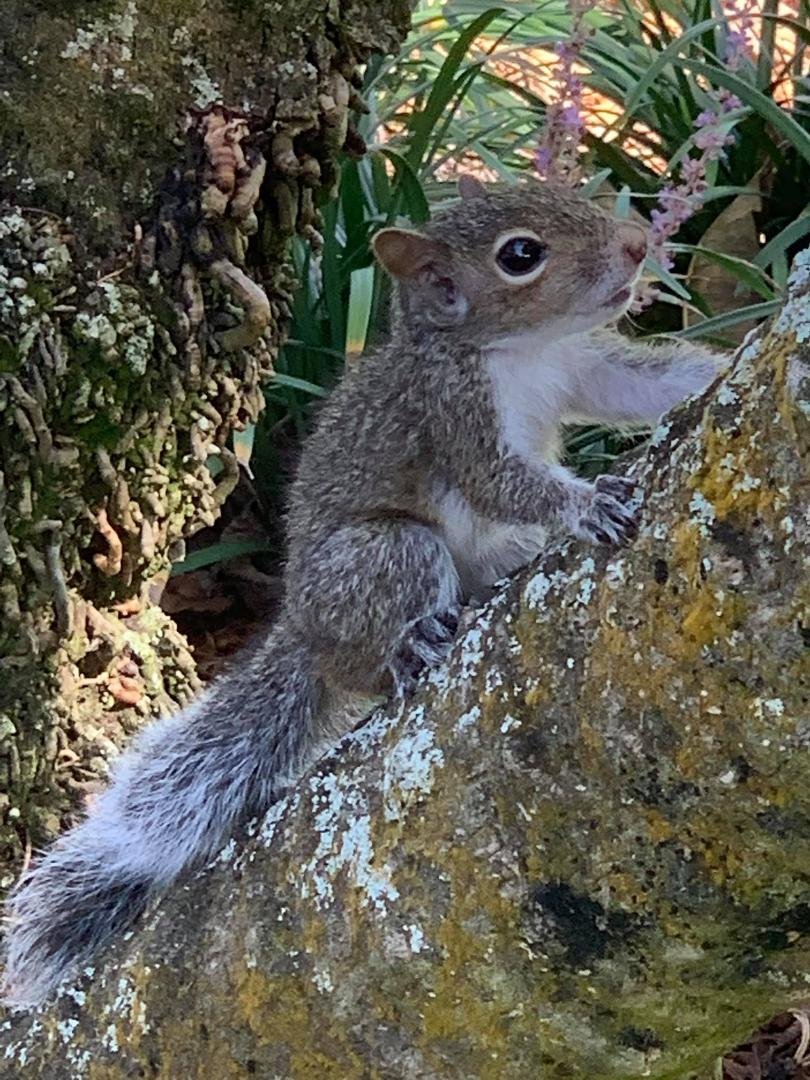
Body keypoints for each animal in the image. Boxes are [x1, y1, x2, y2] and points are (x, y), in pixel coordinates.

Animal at [1, 175, 723, 1009]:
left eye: (565, 193)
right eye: (520, 255)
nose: (638, 245)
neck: (520, 352)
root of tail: (303, 626)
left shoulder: (583, 365)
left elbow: (642, 383)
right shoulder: (454, 413)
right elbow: (504, 484)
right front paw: (586, 505)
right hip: (386, 557)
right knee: (364, 654)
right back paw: (408, 648)